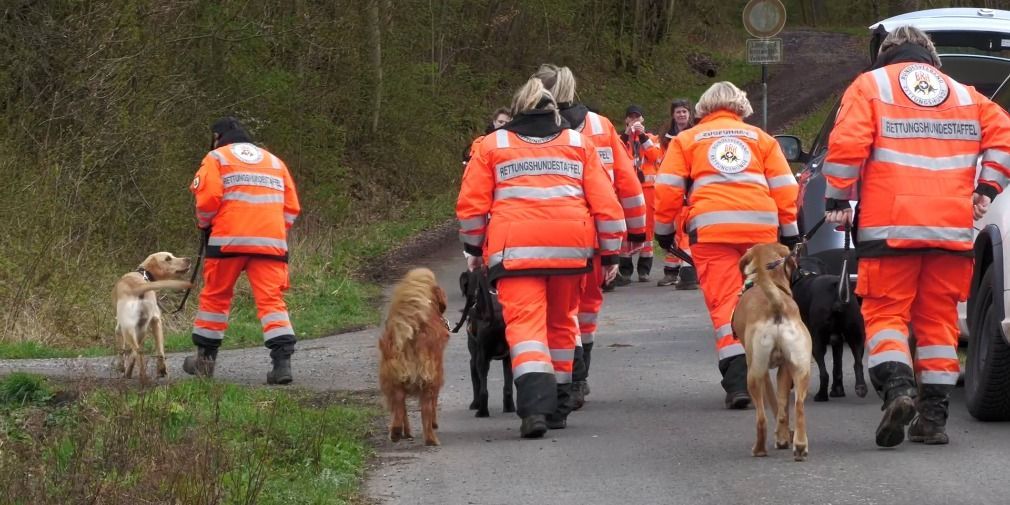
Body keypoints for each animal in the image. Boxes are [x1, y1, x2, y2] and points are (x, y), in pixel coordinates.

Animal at [114, 252, 192, 381]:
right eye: (168, 258)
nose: (188, 259)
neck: (143, 274)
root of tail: (138, 286)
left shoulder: (119, 328)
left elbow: (122, 352)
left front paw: (121, 368)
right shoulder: (155, 321)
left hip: (129, 329)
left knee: (138, 351)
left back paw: (137, 375)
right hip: (152, 324)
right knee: (157, 351)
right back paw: (160, 371)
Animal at [379, 268, 450, 446]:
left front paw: (406, 432)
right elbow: (432, 408)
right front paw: (434, 424)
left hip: (393, 380)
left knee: (399, 407)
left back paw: (397, 432)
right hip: (431, 379)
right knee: (426, 411)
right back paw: (431, 439)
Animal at [462, 270, 517, 416]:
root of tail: (497, 318)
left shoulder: (473, 360)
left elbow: (476, 384)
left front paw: (474, 404)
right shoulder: (507, 359)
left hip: (481, 359)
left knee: (483, 390)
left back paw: (482, 411)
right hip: (509, 359)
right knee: (507, 389)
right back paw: (509, 408)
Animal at [731, 243, 808, 462]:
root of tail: (776, 305)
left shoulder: (763, 372)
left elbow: (774, 404)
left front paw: (782, 438)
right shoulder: (785, 369)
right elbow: (782, 408)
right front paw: (784, 437)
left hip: (754, 375)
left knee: (761, 418)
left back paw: (759, 449)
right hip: (801, 370)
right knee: (798, 406)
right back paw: (799, 446)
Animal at [787, 256, 868, 401]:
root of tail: (836, 294)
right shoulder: (837, 341)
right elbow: (837, 367)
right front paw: (838, 390)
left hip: (817, 342)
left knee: (824, 373)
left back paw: (821, 395)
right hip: (856, 334)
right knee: (858, 363)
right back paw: (860, 387)